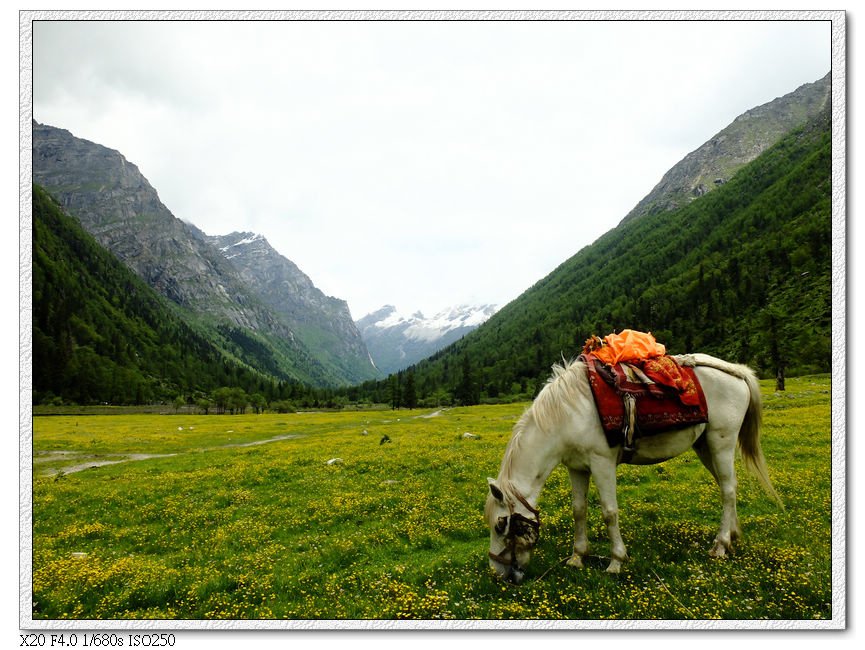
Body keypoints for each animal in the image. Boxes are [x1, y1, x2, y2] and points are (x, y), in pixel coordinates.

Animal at [486, 354, 784, 584]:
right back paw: (732, 536)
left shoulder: (602, 463)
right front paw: (577, 557)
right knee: (727, 487)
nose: (498, 573)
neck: (567, 415)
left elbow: (609, 512)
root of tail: (737, 372)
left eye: (501, 524)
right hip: (705, 446)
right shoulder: (577, 468)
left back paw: (720, 545)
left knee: (728, 490)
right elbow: (579, 510)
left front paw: (616, 561)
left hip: (721, 442)